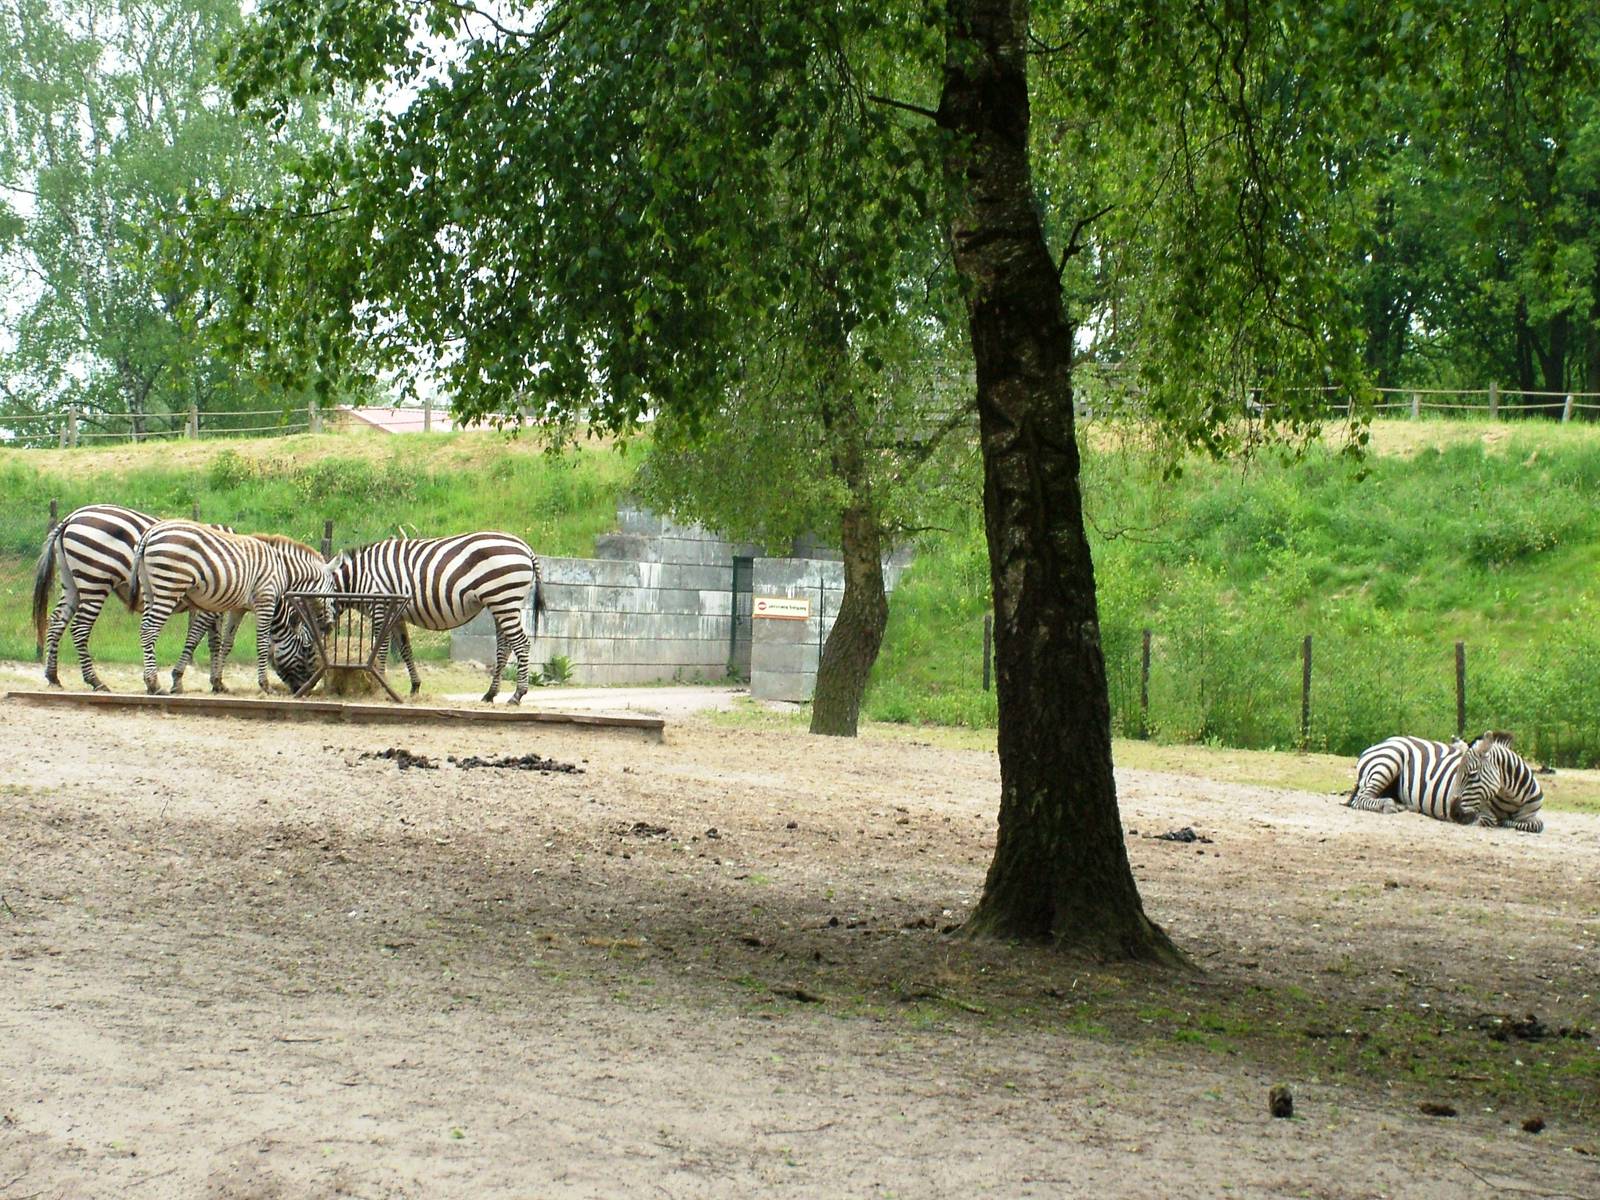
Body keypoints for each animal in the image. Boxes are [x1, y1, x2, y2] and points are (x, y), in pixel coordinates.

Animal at [32, 504, 238, 692]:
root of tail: (71, 517)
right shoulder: (211, 605)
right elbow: (198, 638)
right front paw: (183, 680)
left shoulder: (215, 606)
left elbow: (214, 641)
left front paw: (217, 682)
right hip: (95, 580)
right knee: (80, 627)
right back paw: (95, 681)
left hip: (72, 582)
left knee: (56, 621)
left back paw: (53, 676)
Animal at [129, 521, 333, 695]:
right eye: (306, 649)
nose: (307, 689)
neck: (282, 570)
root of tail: (150, 532)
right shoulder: (264, 601)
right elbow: (258, 643)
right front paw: (265, 685)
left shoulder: (238, 608)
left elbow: (226, 643)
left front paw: (218, 683)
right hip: (169, 587)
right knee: (149, 629)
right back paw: (154, 683)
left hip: (149, 590)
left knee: (144, 628)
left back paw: (149, 682)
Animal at [327, 532, 546, 703]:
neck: (360, 578)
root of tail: (526, 548)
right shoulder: (397, 615)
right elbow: (406, 650)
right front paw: (414, 686)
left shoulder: (381, 608)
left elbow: (380, 649)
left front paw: (380, 686)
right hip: (502, 604)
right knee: (504, 647)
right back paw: (490, 694)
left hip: (504, 599)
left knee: (522, 644)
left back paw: (517, 695)